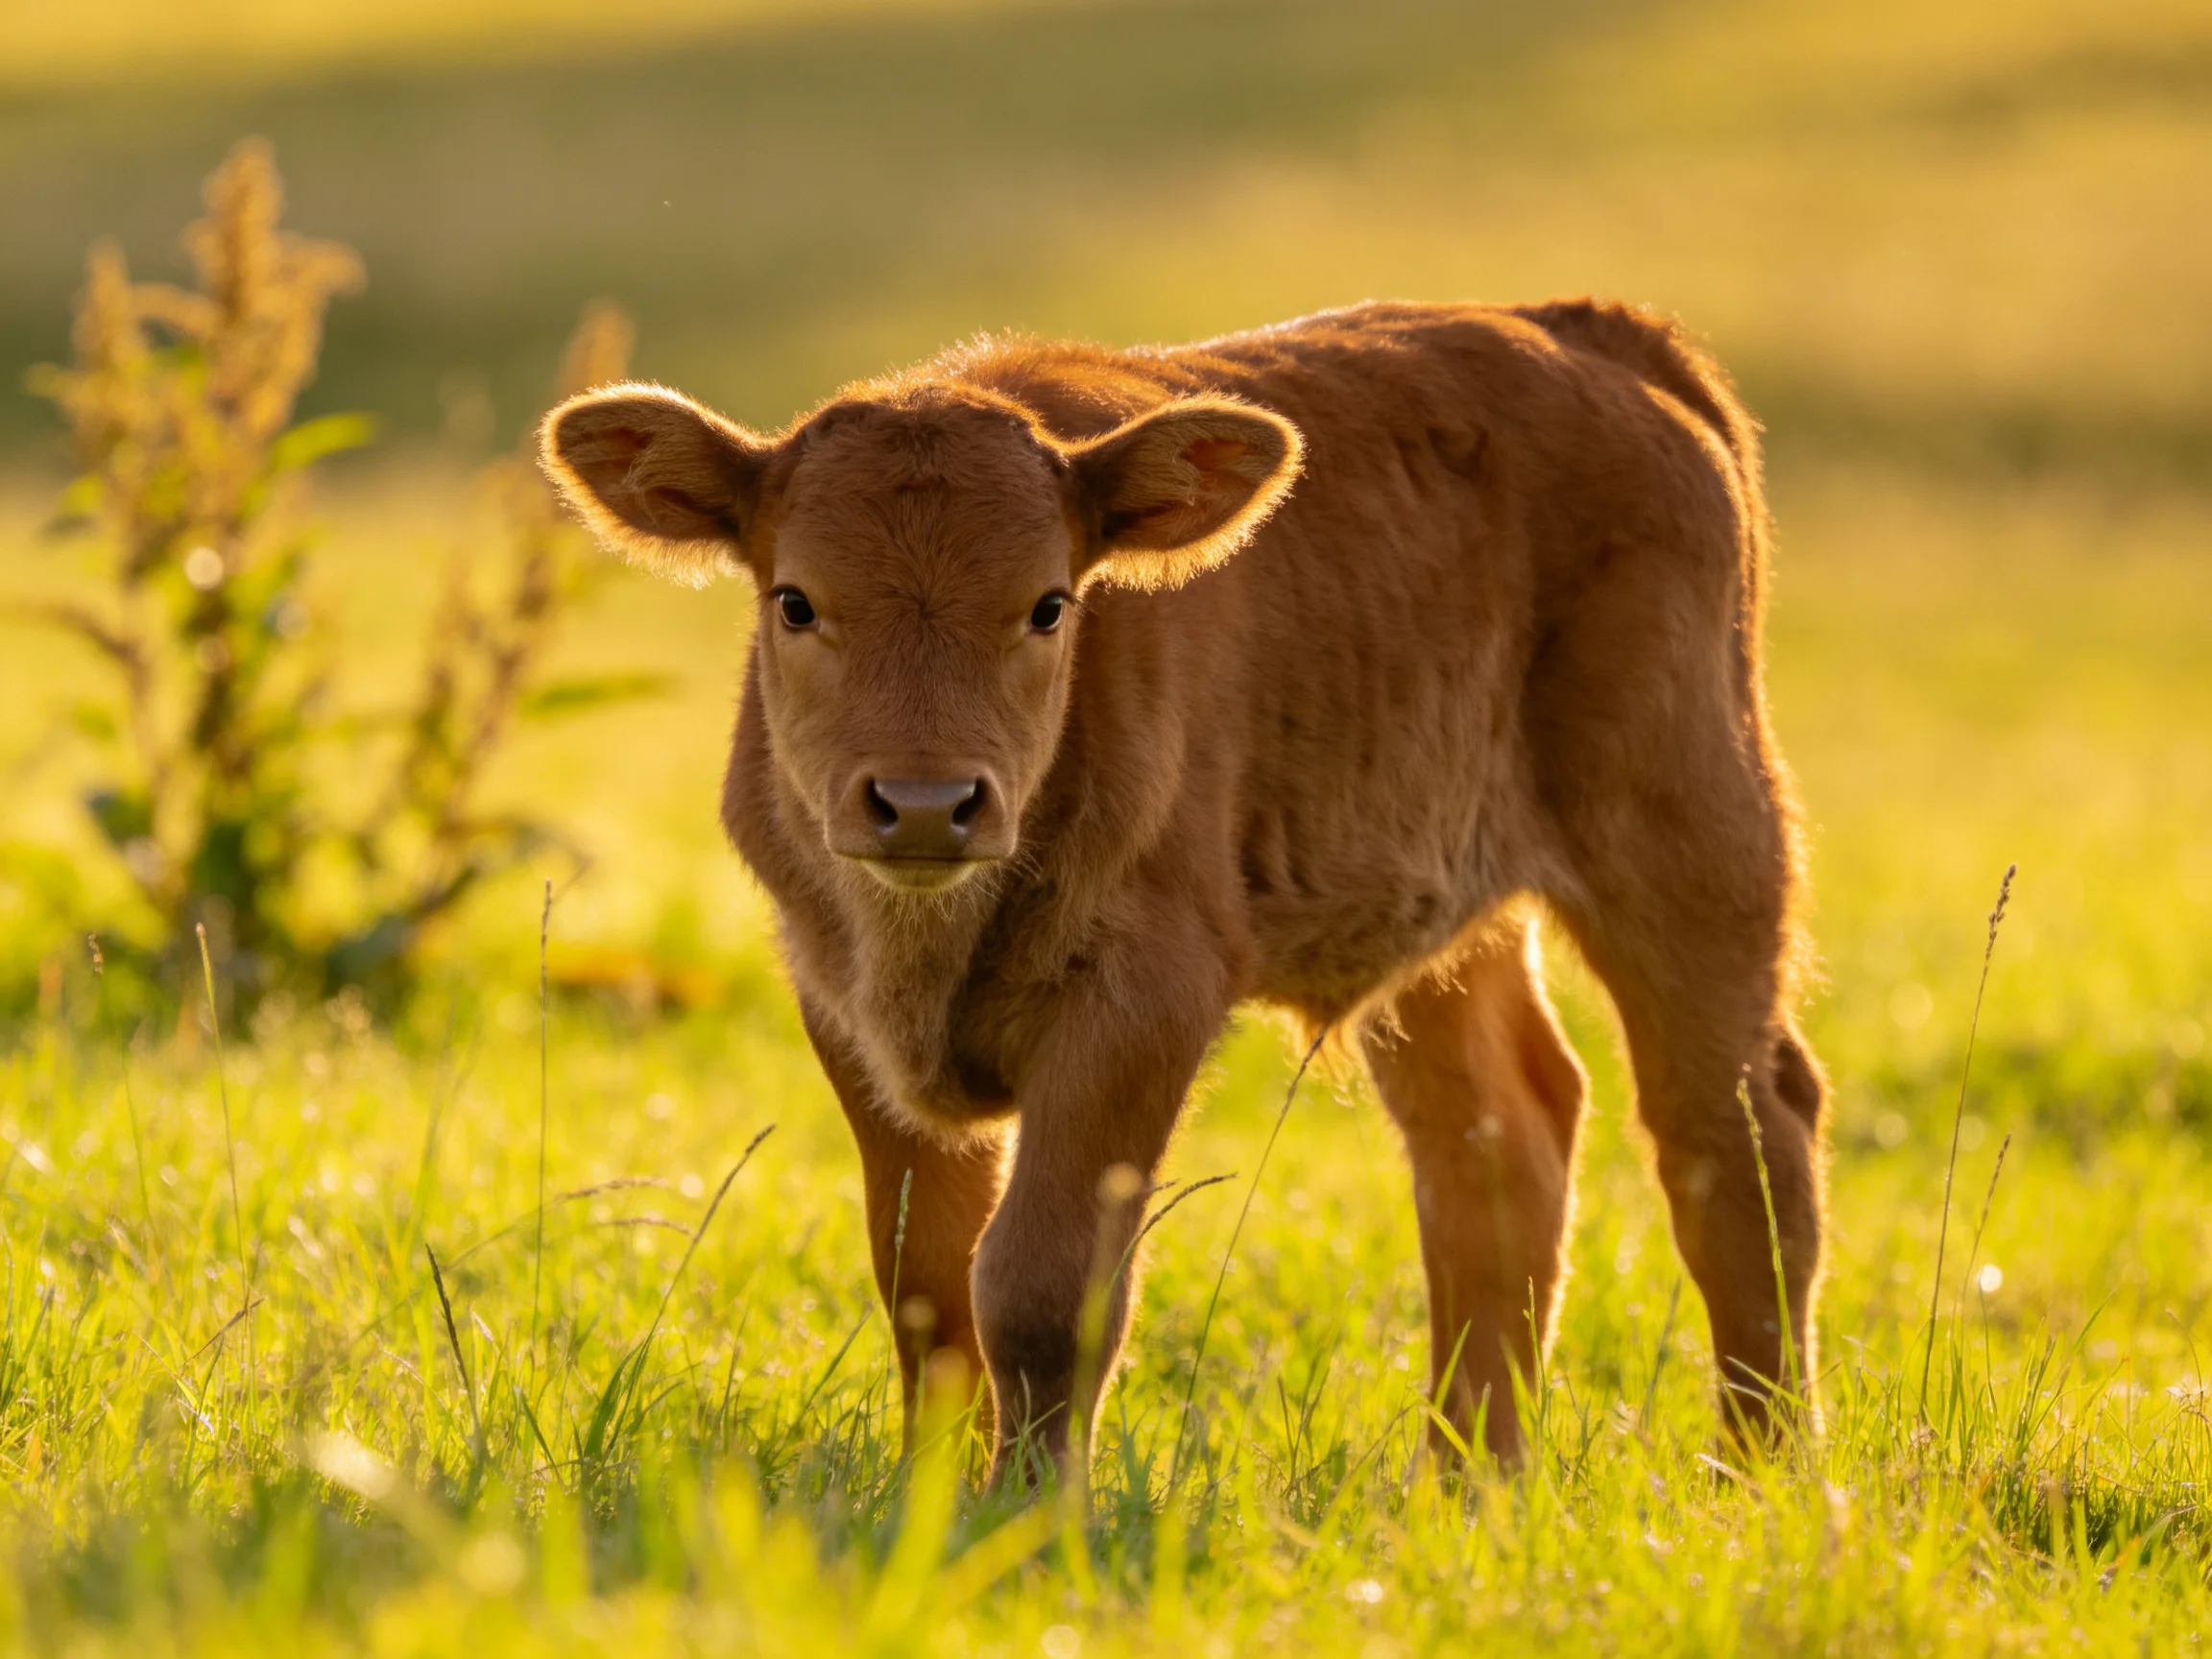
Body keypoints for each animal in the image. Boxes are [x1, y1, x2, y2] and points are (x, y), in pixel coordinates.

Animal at [540, 298, 1827, 1483]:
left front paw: (1029, 1515)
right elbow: (927, 1285)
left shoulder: (1141, 1006)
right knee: (1503, 1142)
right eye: (796, 601)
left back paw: (1756, 1473)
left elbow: (1040, 1288)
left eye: (1049, 604)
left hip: (1691, 845)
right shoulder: (841, 1007)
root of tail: (1592, 335)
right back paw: (1468, 1484)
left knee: (1737, 1140)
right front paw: (932, 1496)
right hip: (1446, 918)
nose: (923, 802)